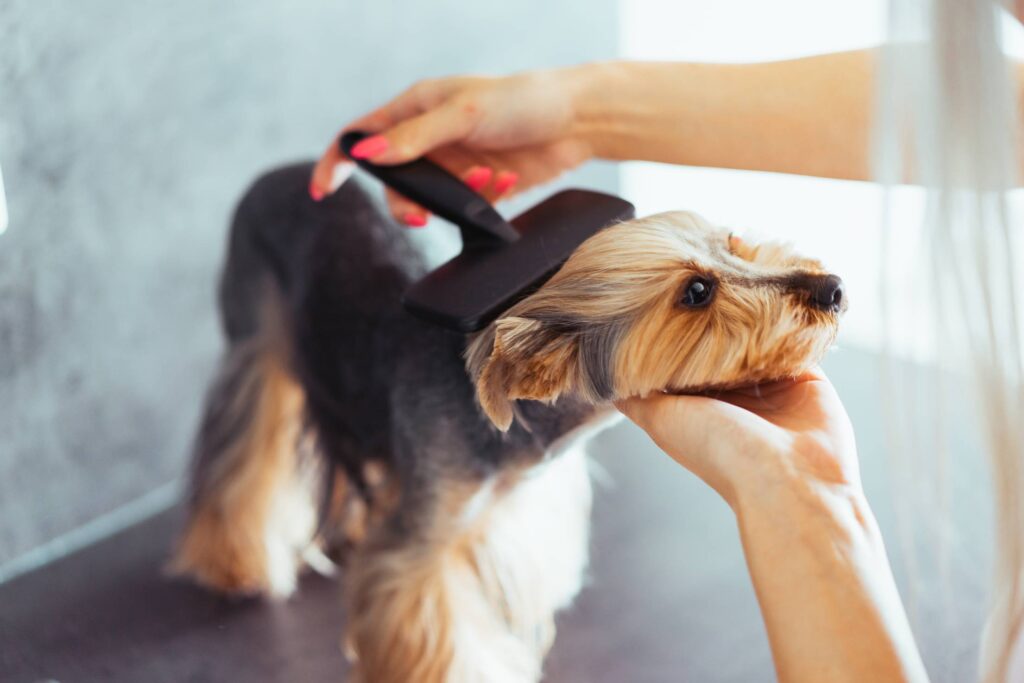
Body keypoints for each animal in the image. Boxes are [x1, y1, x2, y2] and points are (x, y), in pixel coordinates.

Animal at [172, 162, 847, 679]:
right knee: (243, 443)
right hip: (253, 329)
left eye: (733, 245)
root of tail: (284, 172)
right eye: (697, 293)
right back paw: (233, 561)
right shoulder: (420, 554)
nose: (832, 288)